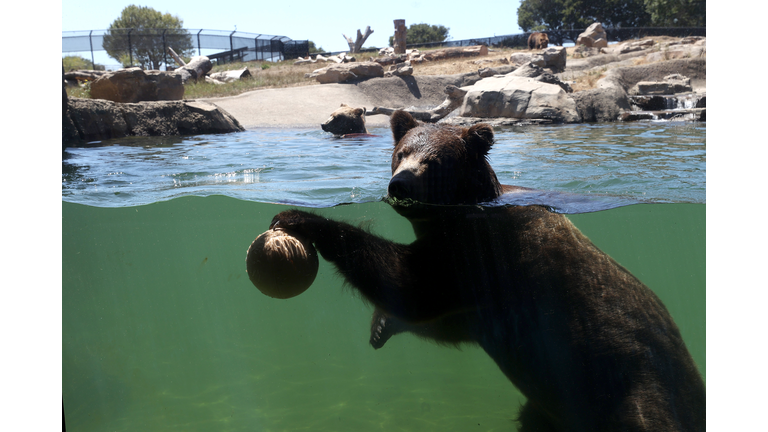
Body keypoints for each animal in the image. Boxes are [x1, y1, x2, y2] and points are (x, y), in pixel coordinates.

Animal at [268, 109, 704, 430]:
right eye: (402, 152)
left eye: (434, 160)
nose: (400, 184)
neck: (454, 217)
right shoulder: (481, 304)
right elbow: (445, 321)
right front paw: (381, 326)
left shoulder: (484, 256)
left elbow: (412, 287)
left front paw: (300, 219)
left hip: (635, 385)